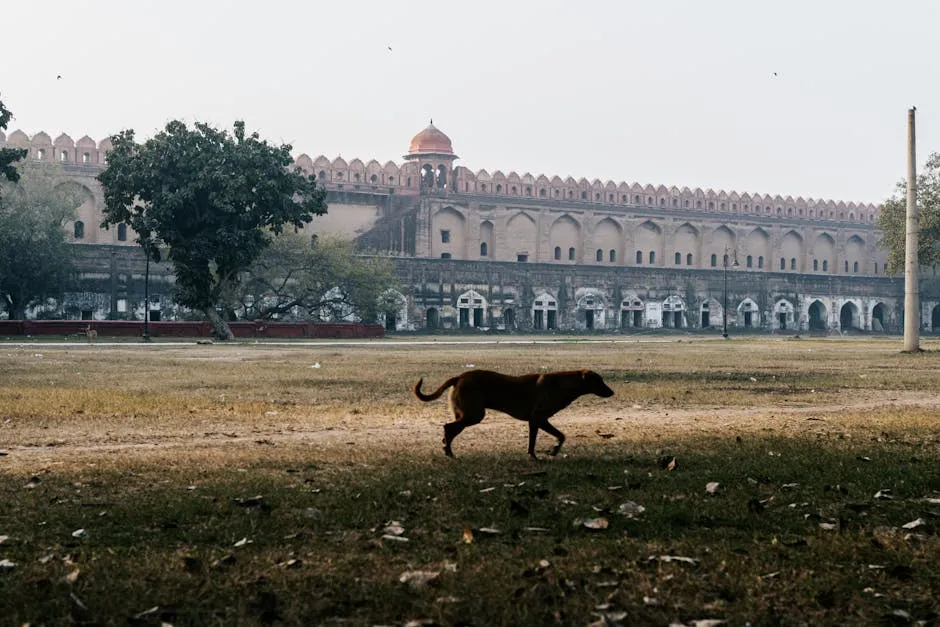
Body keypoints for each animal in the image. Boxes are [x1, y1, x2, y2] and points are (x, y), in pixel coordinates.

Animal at [414, 368, 612, 462]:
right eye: (599, 381)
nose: (612, 392)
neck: (563, 383)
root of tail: (459, 377)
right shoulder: (539, 418)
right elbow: (561, 436)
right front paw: (553, 450)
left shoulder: (534, 421)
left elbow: (533, 442)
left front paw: (534, 455)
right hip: (474, 415)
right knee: (448, 428)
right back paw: (448, 451)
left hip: (466, 415)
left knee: (450, 429)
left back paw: (447, 449)